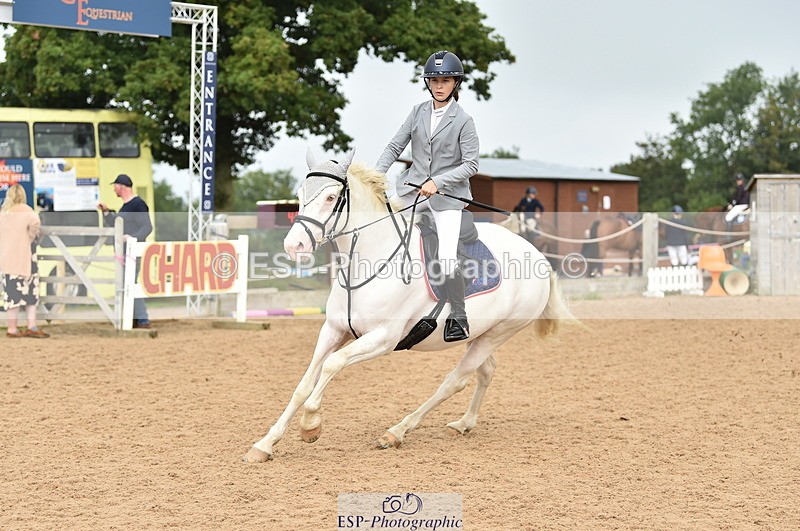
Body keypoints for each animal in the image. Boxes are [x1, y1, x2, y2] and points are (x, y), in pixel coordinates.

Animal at [243, 150, 573, 463]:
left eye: (331, 197)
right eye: (300, 195)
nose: (294, 246)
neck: (370, 260)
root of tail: (537, 255)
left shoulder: (383, 339)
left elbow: (332, 364)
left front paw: (310, 425)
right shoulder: (333, 330)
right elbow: (304, 383)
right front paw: (265, 444)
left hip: (499, 332)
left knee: (454, 382)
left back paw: (396, 432)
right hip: (482, 334)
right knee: (485, 372)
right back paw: (464, 423)